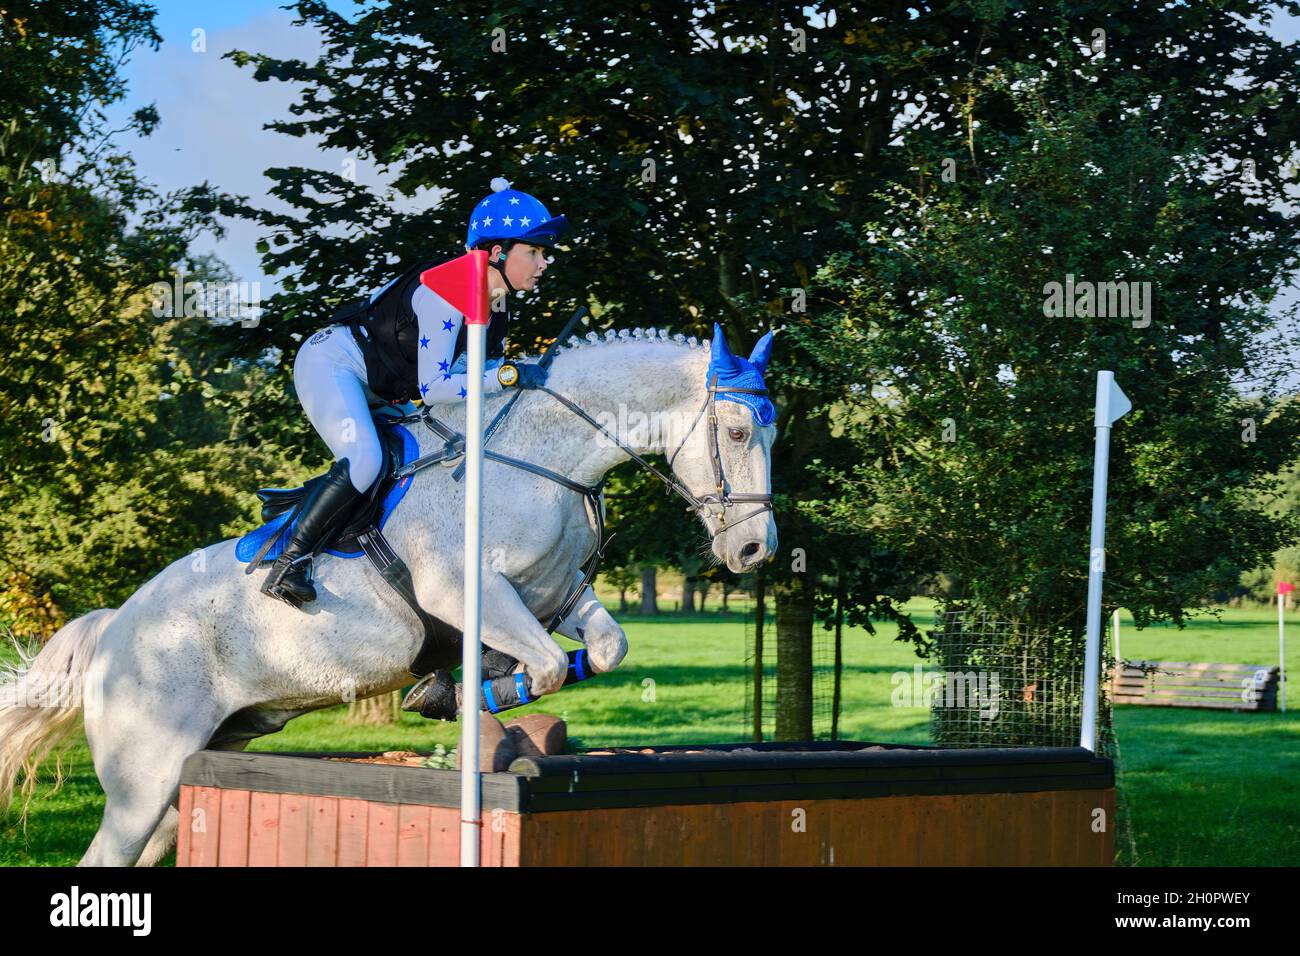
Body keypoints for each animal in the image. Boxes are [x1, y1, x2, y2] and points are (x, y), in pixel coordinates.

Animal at [0, 323, 774, 868]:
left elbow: (605, 648)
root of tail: (115, 629)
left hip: (194, 769)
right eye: (738, 431)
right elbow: (549, 665)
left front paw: (460, 688)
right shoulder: (468, 591)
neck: (543, 459)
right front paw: (454, 694)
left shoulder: (554, 596)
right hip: (143, 778)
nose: (754, 550)